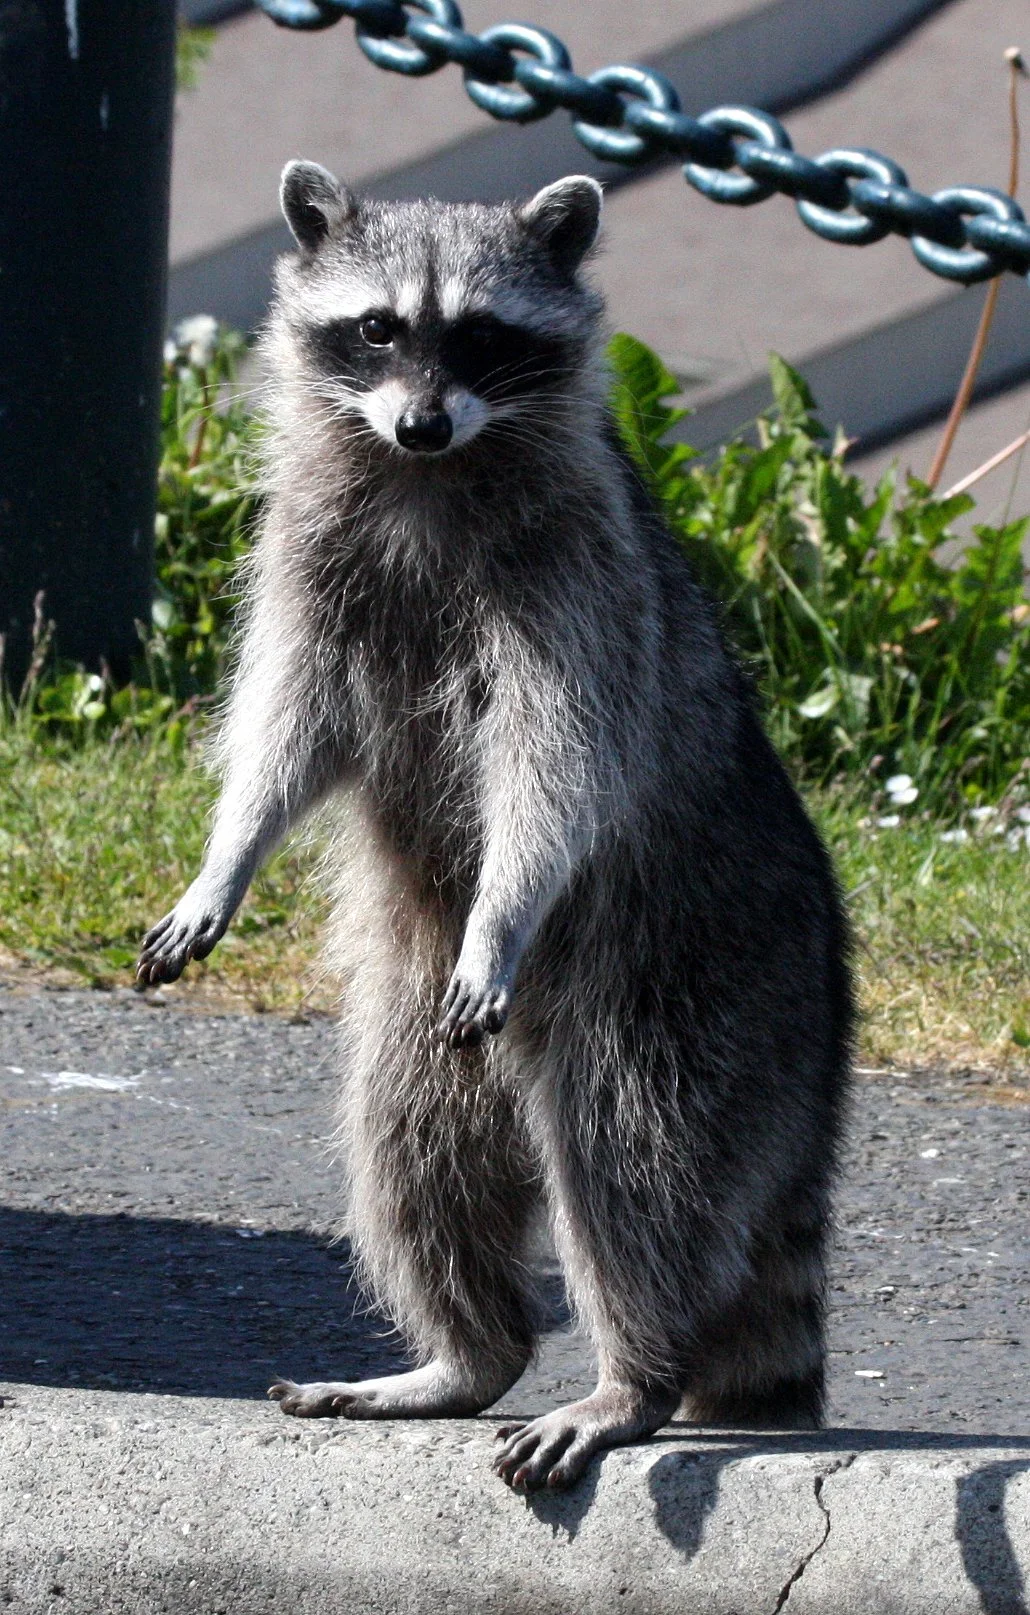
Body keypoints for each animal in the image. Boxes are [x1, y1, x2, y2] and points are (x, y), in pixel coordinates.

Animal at [137, 162, 853, 1491]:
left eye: (477, 335)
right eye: (377, 329)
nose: (422, 423)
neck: (427, 475)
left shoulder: (580, 582)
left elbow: (553, 772)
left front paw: (504, 910)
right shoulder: (312, 559)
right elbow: (286, 728)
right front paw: (228, 856)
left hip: (701, 987)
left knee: (639, 1167)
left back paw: (632, 1377)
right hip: (424, 1023)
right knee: (411, 1150)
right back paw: (468, 1354)